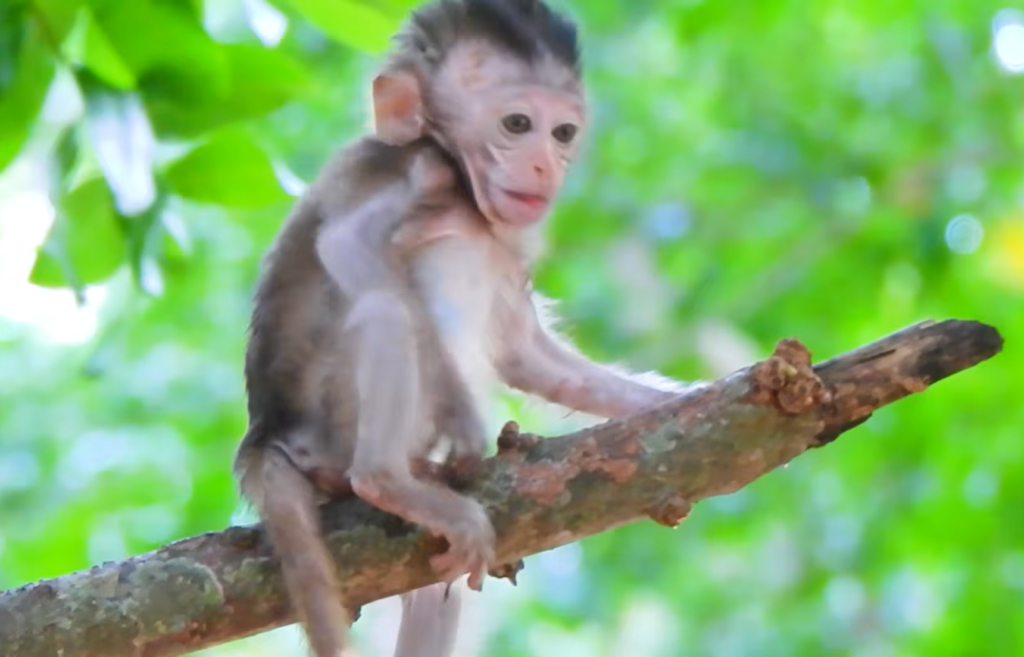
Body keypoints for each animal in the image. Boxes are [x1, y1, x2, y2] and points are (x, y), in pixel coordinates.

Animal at [233, 1, 693, 656]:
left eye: (563, 133)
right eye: (517, 123)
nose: (544, 164)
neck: (472, 206)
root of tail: (265, 436)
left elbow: (527, 356)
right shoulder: (425, 170)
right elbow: (349, 248)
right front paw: (463, 422)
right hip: (333, 424)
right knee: (385, 309)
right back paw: (387, 480)